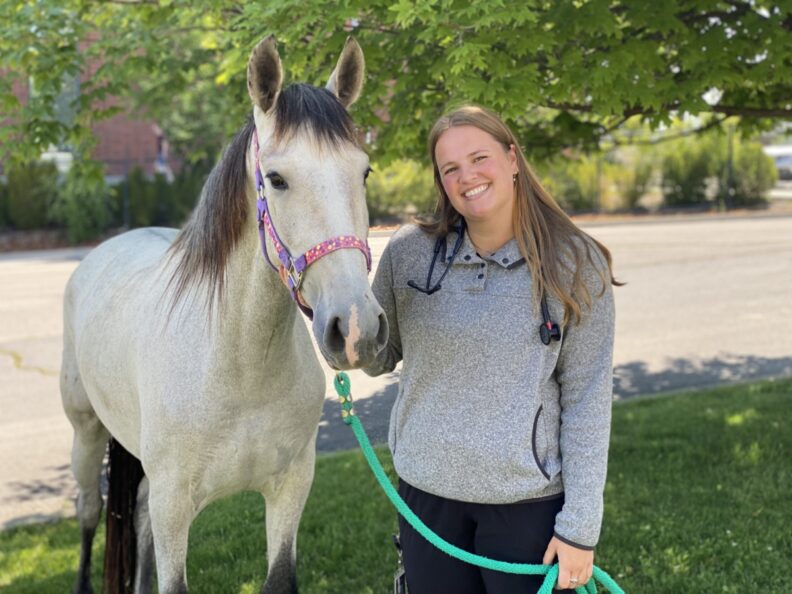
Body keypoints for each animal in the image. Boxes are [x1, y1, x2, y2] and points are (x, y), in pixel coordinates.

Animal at [60, 35, 387, 594]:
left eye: (363, 172)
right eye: (276, 178)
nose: (356, 329)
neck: (237, 365)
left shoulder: (290, 490)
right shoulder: (175, 509)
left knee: (136, 513)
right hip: (85, 433)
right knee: (87, 509)